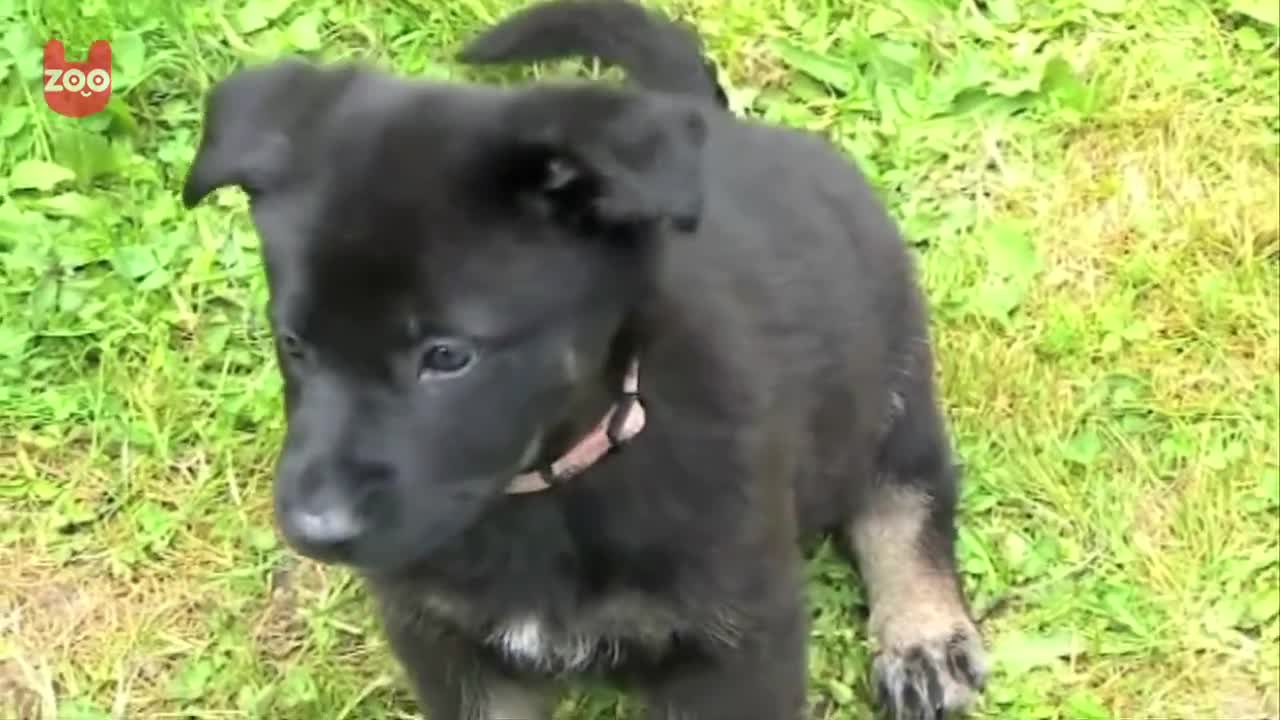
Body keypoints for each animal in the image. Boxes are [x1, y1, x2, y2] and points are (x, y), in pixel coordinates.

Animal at [180, 1, 983, 717]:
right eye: (294, 344)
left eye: (447, 356)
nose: (314, 531)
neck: (549, 482)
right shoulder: (451, 648)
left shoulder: (736, 640)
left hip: (891, 377)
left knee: (905, 494)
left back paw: (921, 637)